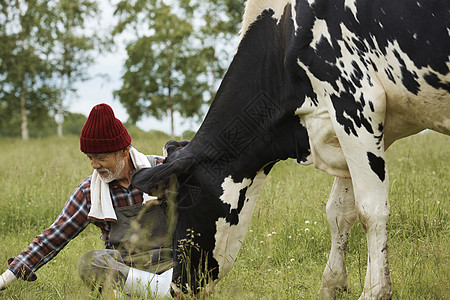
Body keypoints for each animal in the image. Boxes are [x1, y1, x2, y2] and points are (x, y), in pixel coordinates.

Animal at [132, 0, 448, 298]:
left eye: (176, 204)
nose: (177, 287)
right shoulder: (343, 126)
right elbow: (339, 211)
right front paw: (332, 285)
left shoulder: (356, 102)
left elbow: (370, 210)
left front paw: (375, 293)